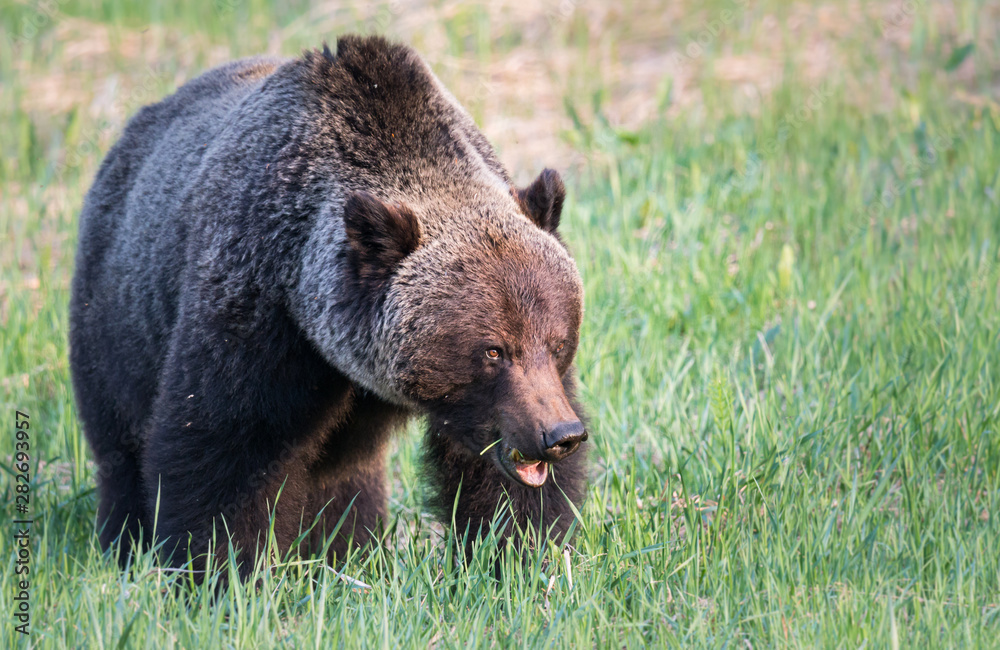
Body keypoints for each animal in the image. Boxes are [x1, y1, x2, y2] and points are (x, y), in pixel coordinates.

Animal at [72, 33, 584, 576]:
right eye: (492, 350)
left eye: (557, 343)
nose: (559, 434)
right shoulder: (255, 313)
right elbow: (224, 449)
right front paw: (218, 568)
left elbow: (498, 485)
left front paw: (524, 554)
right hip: (119, 316)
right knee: (121, 444)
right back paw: (123, 544)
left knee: (343, 475)